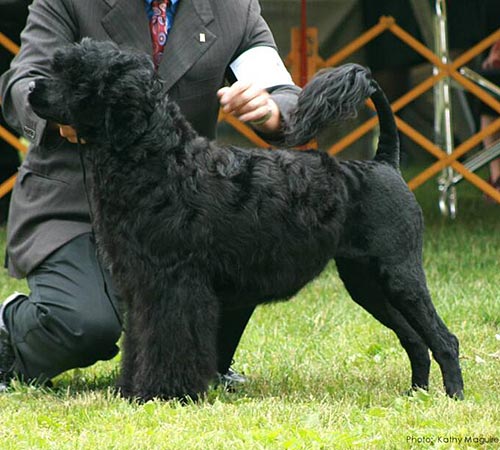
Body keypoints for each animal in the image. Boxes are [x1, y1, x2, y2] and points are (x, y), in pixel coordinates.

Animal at [27, 39, 464, 400]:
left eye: (77, 75)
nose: (32, 89)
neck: (158, 159)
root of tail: (384, 163)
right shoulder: (141, 284)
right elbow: (140, 339)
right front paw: (132, 388)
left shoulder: (174, 282)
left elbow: (168, 340)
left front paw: (165, 392)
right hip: (366, 283)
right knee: (415, 340)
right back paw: (416, 393)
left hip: (399, 274)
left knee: (443, 338)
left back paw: (453, 396)